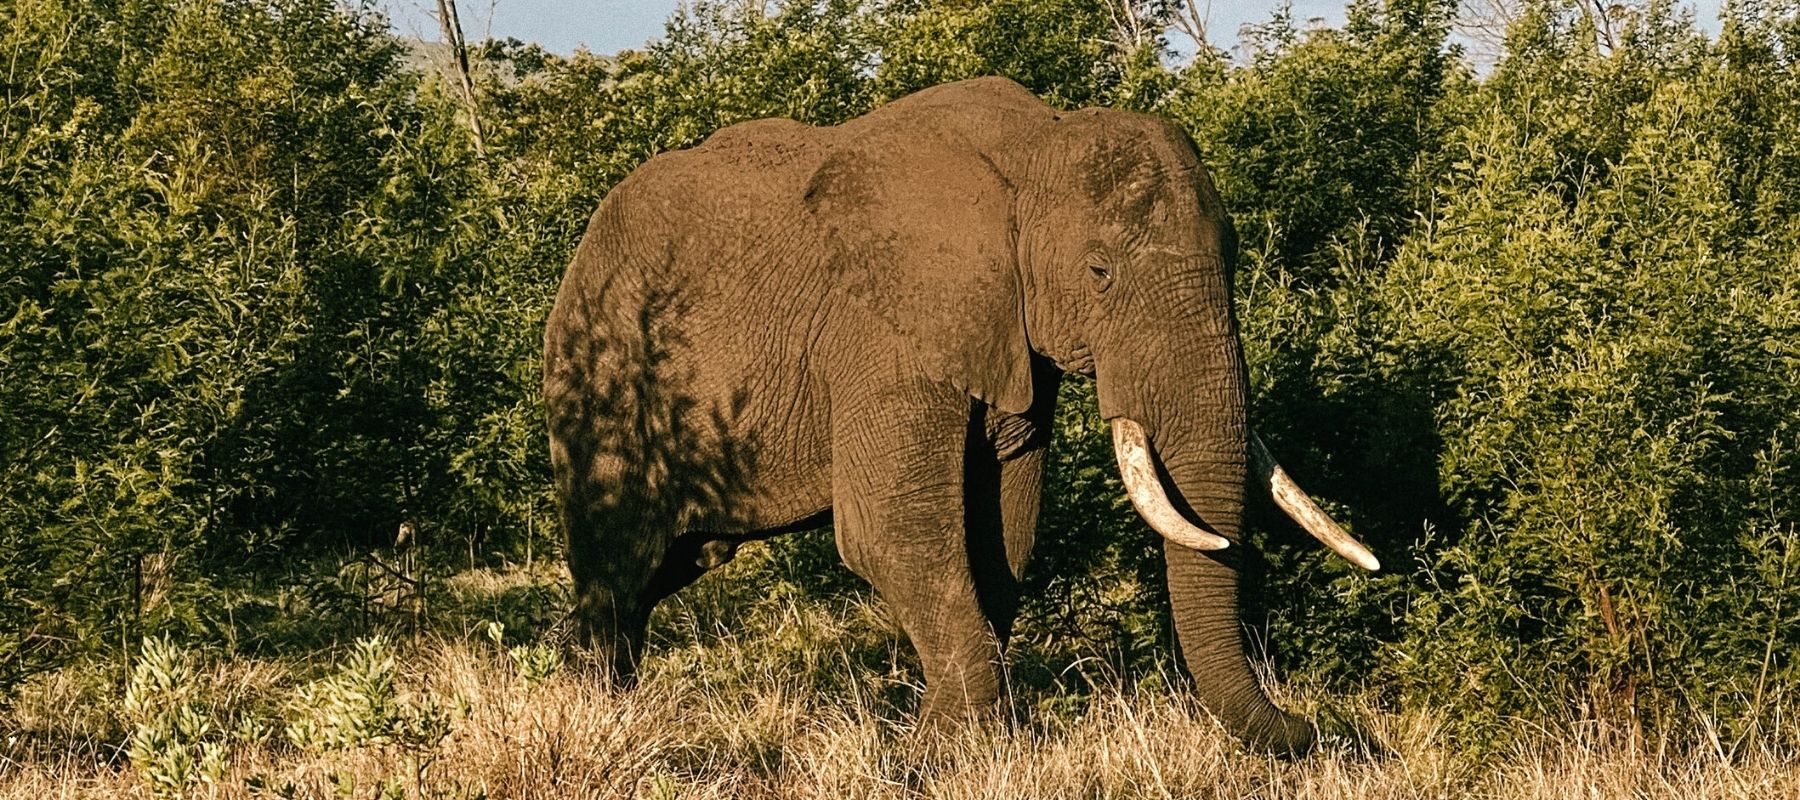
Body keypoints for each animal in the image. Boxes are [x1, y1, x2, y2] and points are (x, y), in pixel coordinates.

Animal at [543, 76, 1375, 756]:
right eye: (1099, 270)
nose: (1313, 731)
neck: (1034, 146)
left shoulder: (1011, 338)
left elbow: (1004, 529)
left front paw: (948, 738)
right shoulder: (882, 328)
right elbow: (893, 532)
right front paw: (958, 752)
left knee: (663, 567)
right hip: (603, 378)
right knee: (620, 567)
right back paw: (602, 713)